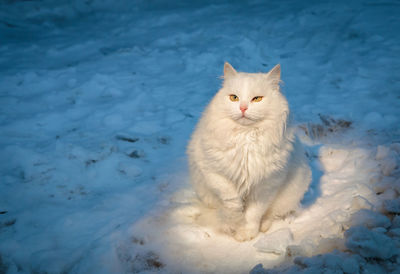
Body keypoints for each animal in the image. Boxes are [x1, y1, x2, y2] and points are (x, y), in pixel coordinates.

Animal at [188, 62, 312, 242]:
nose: (243, 108)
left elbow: (254, 214)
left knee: (271, 215)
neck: (246, 138)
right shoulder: (215, 174)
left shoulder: (266, 186)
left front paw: (247, 233)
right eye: (234, 97)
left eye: (257, 99)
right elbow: (232, 203)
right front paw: (235, 223)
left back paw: (264, 228)